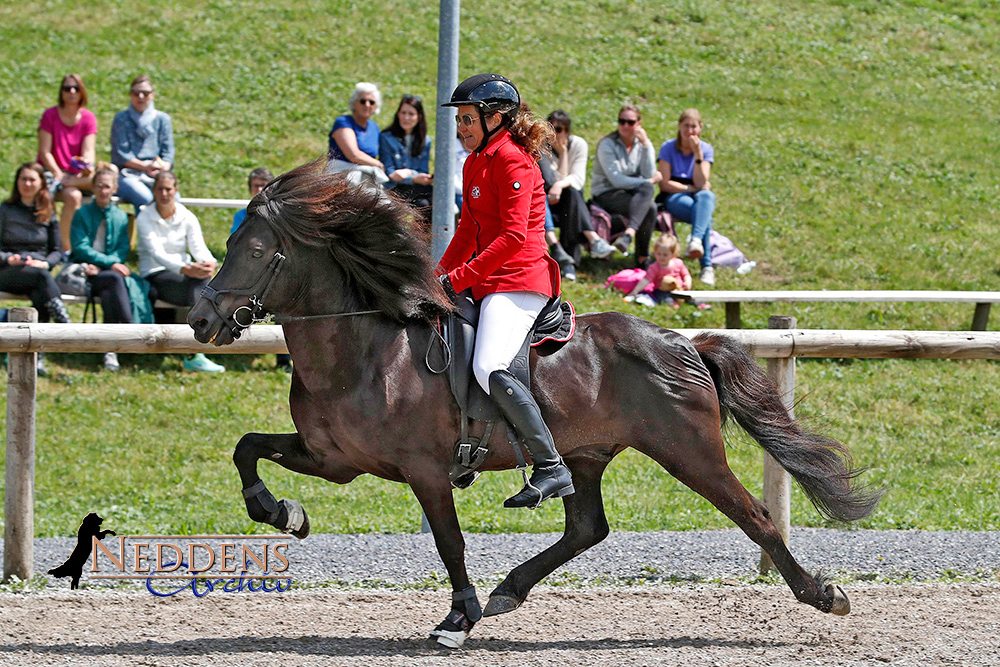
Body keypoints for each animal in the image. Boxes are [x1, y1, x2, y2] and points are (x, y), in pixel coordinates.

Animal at [189, 162, 884, 648]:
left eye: (254, 251)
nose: (200, 320)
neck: (362, 351)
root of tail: (679, 340)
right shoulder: (333, 458)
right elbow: (247, 449)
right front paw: (281, 512)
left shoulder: (423, 470)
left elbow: (449, 543)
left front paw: (457, 619)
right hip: (585, 454)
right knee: (587, 527)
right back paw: (509, 590)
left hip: (689, 452)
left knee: (755, 516)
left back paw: (823, 595)